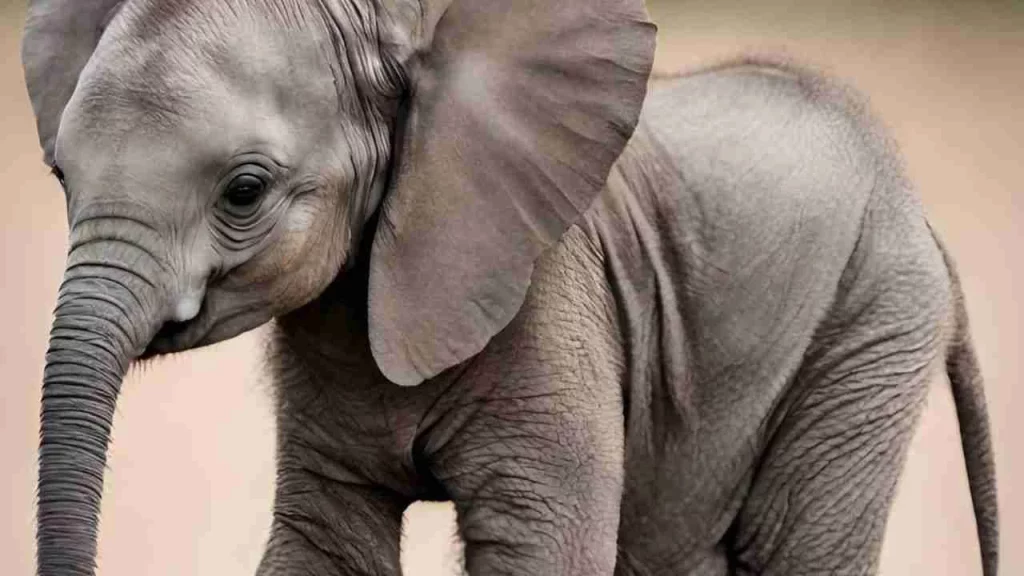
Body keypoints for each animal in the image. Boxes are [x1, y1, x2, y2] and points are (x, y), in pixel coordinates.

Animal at [20, 0, 999, 574]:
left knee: (797, 543)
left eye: (245, 190)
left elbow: (543, 541)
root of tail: (921, 215)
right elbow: (325, 540)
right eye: (60, 174)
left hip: (874, 318)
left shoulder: (552, 290)